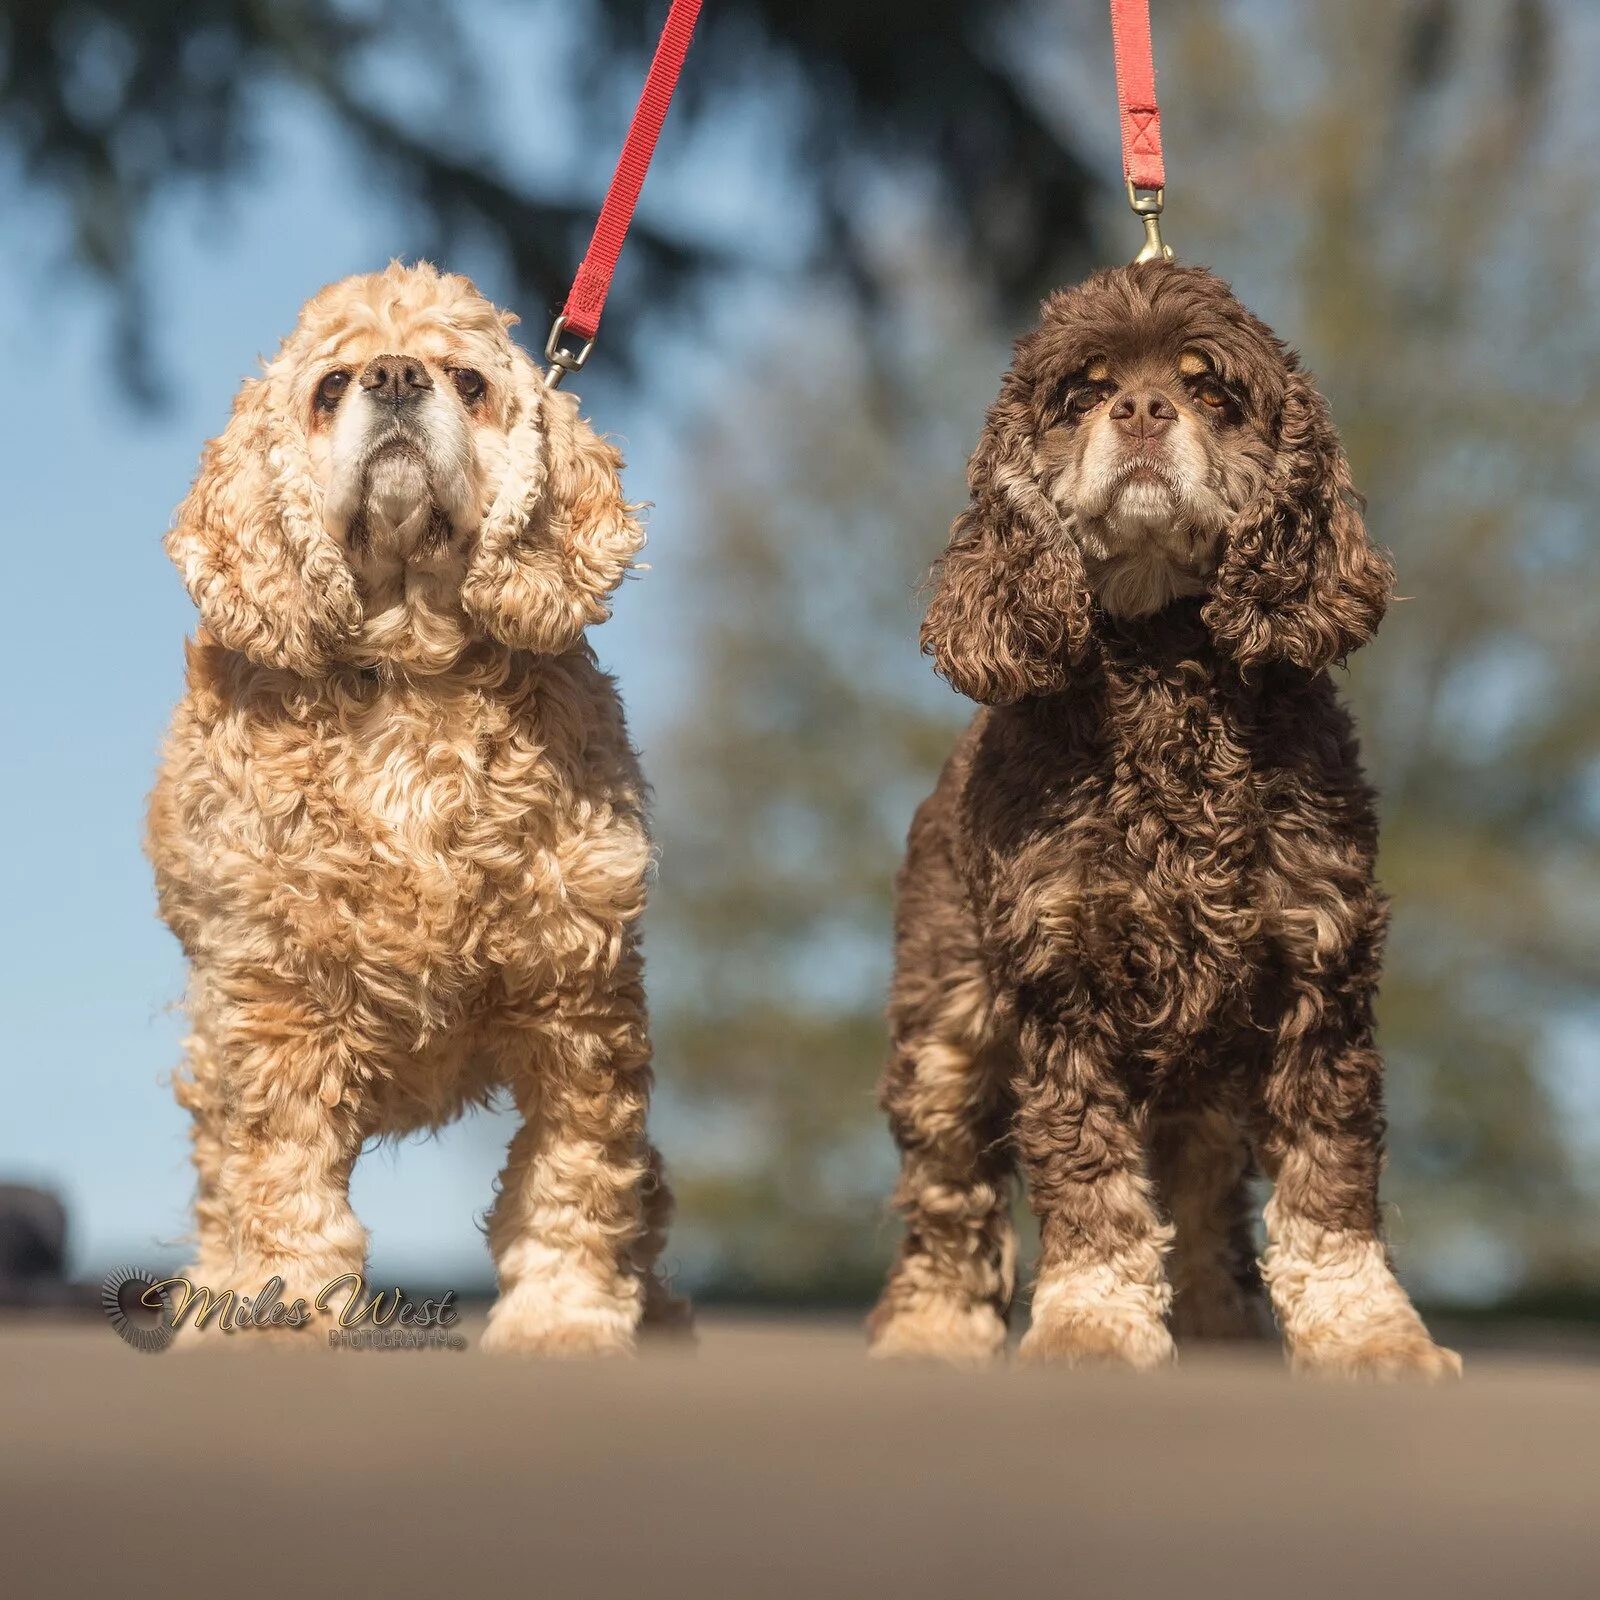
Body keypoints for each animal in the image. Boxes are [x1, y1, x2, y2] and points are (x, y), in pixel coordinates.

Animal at [142, 259, 681, 1350]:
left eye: (469, 383)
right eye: (331, 386)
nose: (394, 376)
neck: (409, 676)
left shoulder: (578, 992)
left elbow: (575, 1175)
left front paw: (563, 1320)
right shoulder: (275, 1005)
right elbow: (280, 1186)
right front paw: (283, 1316)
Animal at [870, 262, 1459, 1376]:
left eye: (1210, 390)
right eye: (1082, 394)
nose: (1142, 411)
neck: (1160, 670)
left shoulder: (1315, 971)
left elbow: (1327, 1185)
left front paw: (1370, 1331)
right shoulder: (1058, 978)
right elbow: (1088, 1182)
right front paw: (1090, 1325)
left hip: (1203, 1082)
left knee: (1203, 1195)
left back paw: (1222, 1328)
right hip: (946, 1031)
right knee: (948, 1193)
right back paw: (928, 1329)